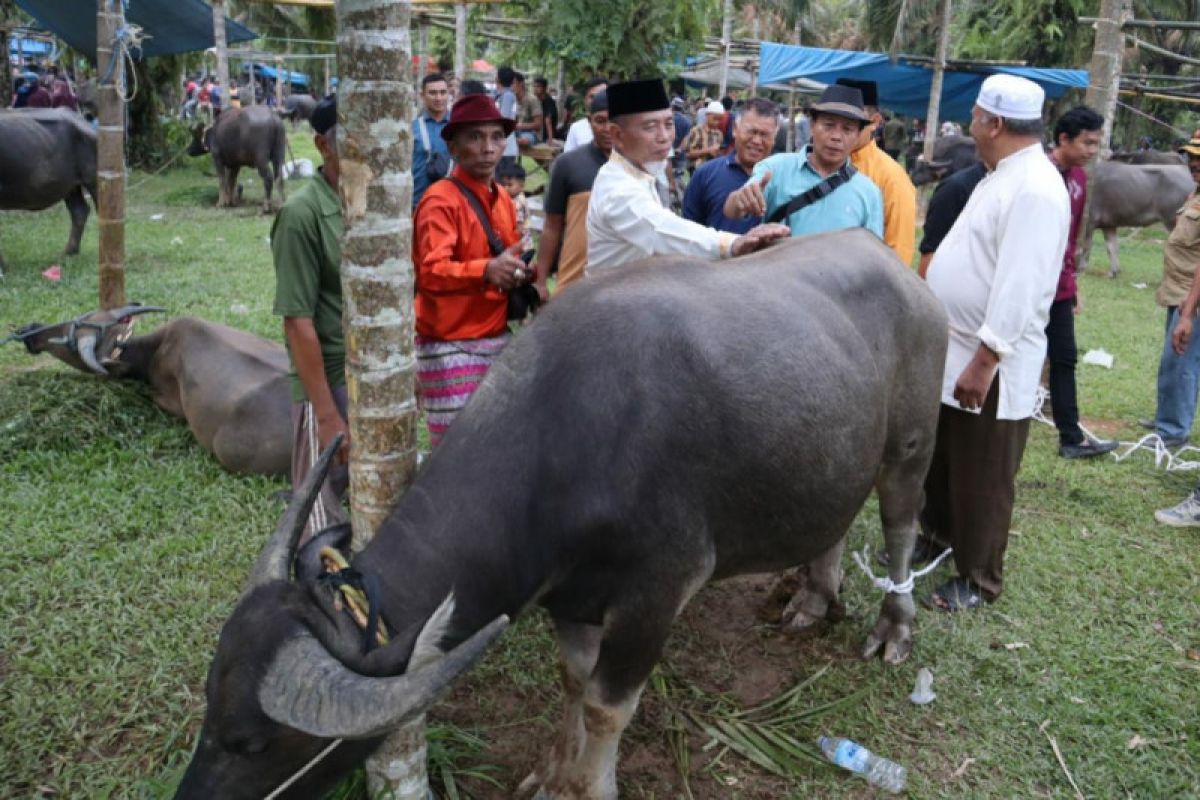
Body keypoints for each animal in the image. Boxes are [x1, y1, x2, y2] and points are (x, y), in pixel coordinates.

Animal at [174, 230, 950, 800]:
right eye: (210, 713)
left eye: (253, 742)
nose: (191, 798)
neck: (565, 441)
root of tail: (901, 269)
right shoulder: (570, 597)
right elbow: (575, 680)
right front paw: (554, 769)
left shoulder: (655, 594)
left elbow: (609, 704)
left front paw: (588, 784)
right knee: (836, 523)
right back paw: (814, 600)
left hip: (911, 447)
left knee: (900, 525)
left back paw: (893, 627)